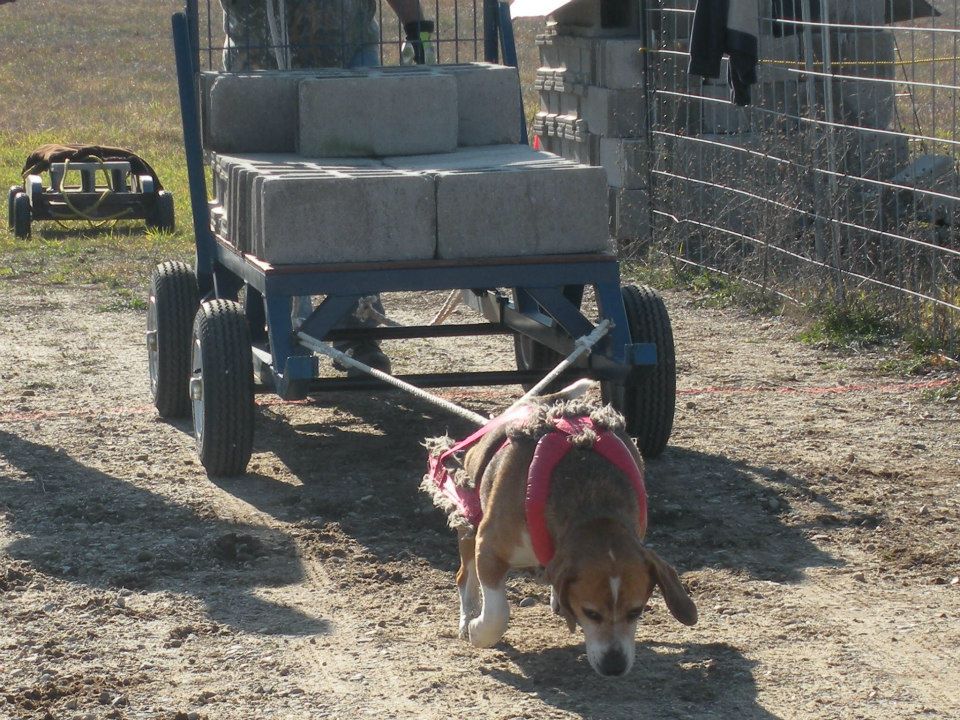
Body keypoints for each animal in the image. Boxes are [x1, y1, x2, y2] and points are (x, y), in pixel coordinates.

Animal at [424, 380, 692, 676]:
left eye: (636, 611)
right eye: (590, 613)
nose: (614, 666)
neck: (594, 510)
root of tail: (545, 402)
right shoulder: (489, 549)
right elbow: (498, 614)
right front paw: (477, 631)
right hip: (469, 522)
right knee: (465, 576)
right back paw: (467, 617)